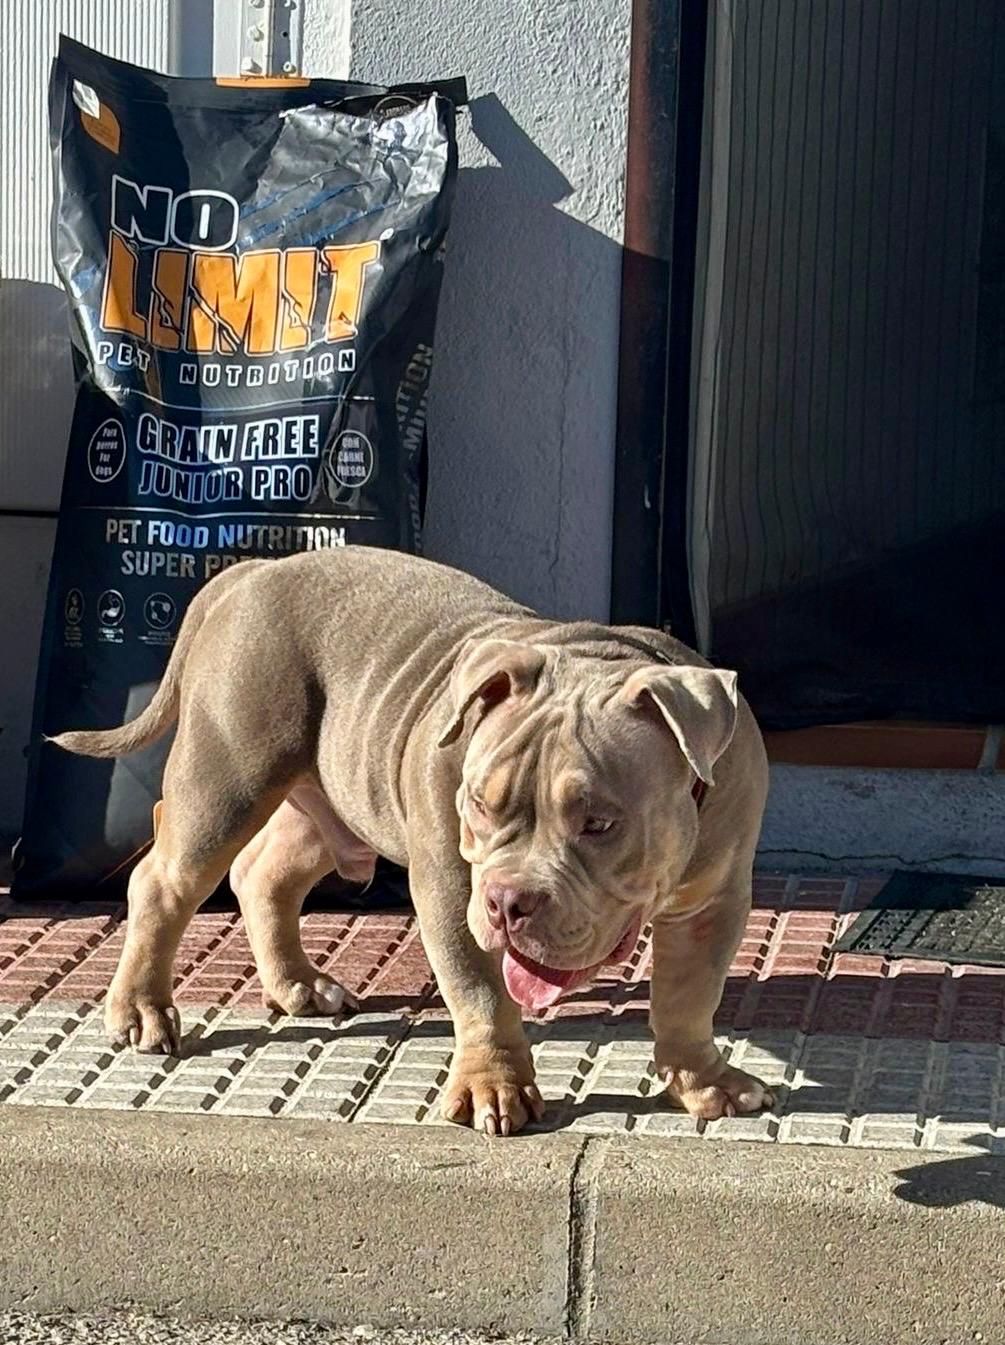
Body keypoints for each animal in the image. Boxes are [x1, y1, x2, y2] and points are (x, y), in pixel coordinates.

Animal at [53, 547, 772, 1135]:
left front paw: (704, 1082)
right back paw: (142, 1010)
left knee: (264, 874)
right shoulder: (453, 888)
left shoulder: (714, 904)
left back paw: (298, 985)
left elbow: (689, 996)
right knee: (165, 880)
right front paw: (492, 1086)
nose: (508, 902)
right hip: (226, 776)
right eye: (479, 803)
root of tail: (255, 570)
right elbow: (479, 988)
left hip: (327, 799)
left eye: (599, 822)